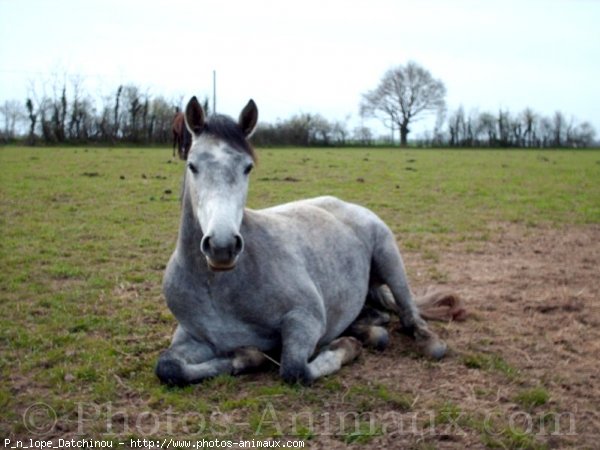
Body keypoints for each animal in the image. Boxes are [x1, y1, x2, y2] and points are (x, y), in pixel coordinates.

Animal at [155, 96, 446, 384]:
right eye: (192, 166)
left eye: (247, 168)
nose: (222, 246)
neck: (218, 286)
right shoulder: (193, 337)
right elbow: (168, 367)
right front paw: (248, 356)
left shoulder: (305, 318)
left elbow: (295, 369)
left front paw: (345, 347)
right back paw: (371, 331)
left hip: (390, 260)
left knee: (409, 314)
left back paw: (427, 342)